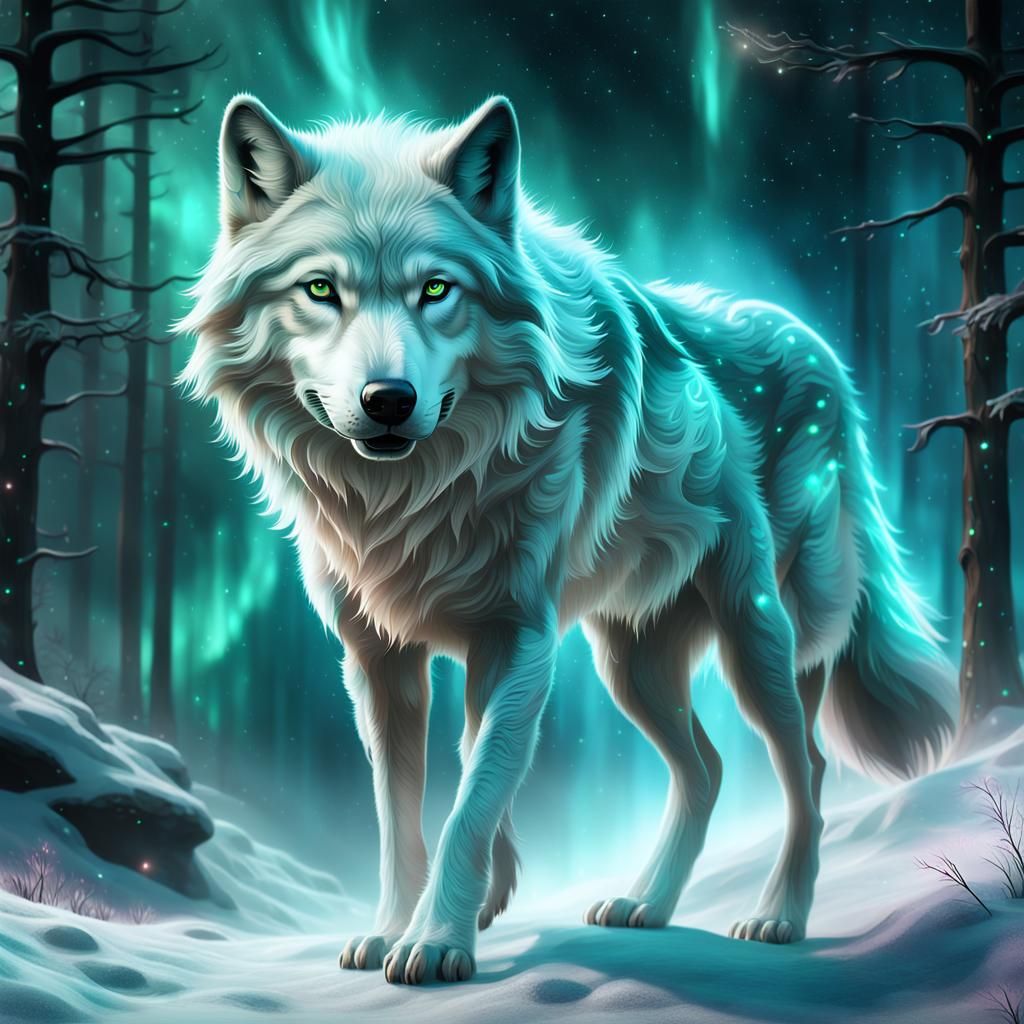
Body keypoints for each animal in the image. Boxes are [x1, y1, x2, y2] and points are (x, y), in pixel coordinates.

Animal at [181, 94, 955, 984]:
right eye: (319, 289)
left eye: (437, 289)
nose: (388, 399)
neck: (413, 497)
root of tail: (825, 354)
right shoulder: (380, 659)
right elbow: (406, 811)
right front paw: (399, 926)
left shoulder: (519, 640)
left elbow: (473, 796)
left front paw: (437, 941)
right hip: (631, 665)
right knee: (708, 768)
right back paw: (646, 904)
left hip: (756, 634)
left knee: (809, 768)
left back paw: (779, 917)